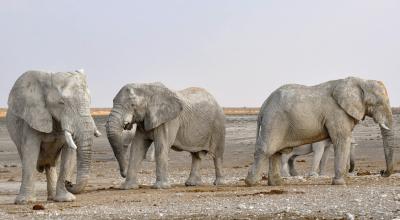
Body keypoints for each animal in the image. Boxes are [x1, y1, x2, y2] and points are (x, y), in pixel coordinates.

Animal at [6, 70, 101, 205]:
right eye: (61, 103)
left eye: (90, 102)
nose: (69, 182)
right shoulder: (33, 117)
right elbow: (30, 152)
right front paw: (25, 202)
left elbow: (69, 154)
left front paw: (66, 199)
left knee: (50, 165)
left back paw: (52, 198)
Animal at [245, 76, 396, 186]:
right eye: (378, 103)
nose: (382, 172)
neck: (361, 81)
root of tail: (263, 105)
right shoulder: (336, 112)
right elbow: (341, 140)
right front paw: (339, 183)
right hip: (274, 120)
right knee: (266, 150)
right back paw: (251, 182)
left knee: (277, 152)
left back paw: (277, 184)